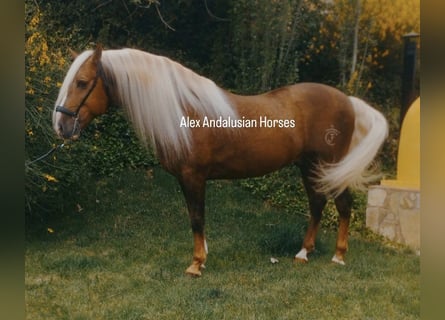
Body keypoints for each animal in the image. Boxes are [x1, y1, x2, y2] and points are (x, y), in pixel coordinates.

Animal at [52, 45, 386, 278]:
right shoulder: (187, 180)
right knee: (317, 204)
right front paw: (202, 258)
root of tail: (347, 101)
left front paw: (196, 264)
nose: (60, 126)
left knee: (343, 206)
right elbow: (195, 218)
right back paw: (303, 253)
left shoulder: (193, 177)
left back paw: (338, 256)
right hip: (309, 167)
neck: (183, 111)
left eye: (82, 82)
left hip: (329, 166)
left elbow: (197, 219)